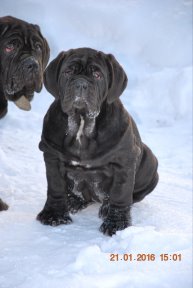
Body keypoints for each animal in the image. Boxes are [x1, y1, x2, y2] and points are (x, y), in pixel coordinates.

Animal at [37, 47, 158, 236]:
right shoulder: (52, 156)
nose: (80, 84)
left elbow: (121, 193)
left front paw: (116, 224)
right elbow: (55, 187)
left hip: (150, 162)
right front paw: (54, 215)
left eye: (97, 75)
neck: (81, 124)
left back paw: (106, 207)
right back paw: (73, 201)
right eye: (68, 72)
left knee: (131, 196)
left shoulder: (124, 162)